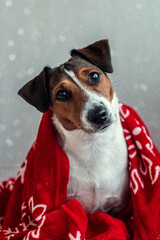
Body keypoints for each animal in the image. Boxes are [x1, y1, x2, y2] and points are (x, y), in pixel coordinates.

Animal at [18, 39, 129, 216]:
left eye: (94, 76)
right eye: (62, 94)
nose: (99, 114)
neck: (94, 146)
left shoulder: (119, 207)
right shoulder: (69, 206)